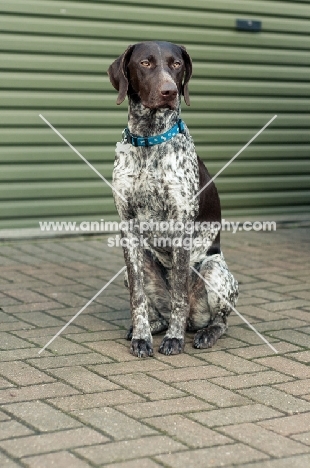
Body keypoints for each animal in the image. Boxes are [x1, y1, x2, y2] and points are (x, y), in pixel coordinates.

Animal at [108, 43, 239, 358]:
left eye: (176, 64)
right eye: (144, 63)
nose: (169, 91)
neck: (149, 139)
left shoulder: (181, 224)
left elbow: (179, 290)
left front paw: (175, 339)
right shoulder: (127, 227)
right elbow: (137, 298)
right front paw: (141, 337)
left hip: (215, 271)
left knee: (219, 321)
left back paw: (203, 333)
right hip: (135, 266)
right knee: (158, 310)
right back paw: (154, 326)